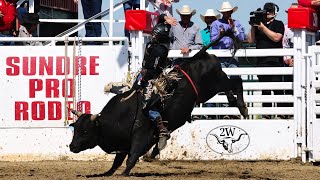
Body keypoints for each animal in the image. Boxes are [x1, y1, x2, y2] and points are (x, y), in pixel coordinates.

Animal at [69, 32, 249, 176]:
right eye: (75, 128)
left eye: (85, 131)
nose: (72, 146)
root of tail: (199, 55)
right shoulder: (124, 142)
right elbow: (116, 162)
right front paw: (105, 173)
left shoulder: (141, 137)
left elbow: (131, 158)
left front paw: (125, 173)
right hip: (212, 88)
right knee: (231, 86)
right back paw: (233, 101)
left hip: (212, 86)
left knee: (237, 82)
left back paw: (243, 108)